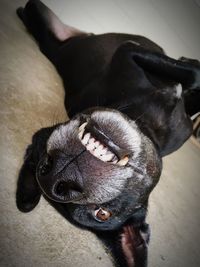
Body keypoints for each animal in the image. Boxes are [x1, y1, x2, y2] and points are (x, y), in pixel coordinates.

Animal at [16, 1, 200, 266]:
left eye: (40, 160)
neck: (146, 124)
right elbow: (191, 75)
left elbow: (192, 77)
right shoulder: (127, 52)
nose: (56, 178)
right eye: (102, 214)